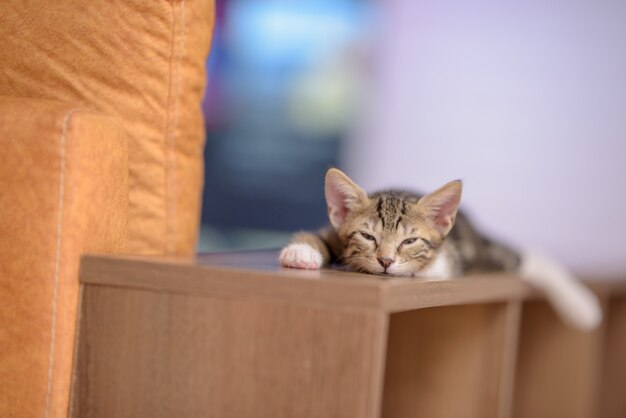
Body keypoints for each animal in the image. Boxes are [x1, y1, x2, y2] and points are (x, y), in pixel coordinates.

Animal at [278, 168, 600, 332]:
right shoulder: (335, 231)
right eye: (368, 236)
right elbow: (321, 236)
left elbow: (431, 265)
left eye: (409, 241)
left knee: (528, 256)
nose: (385, 260)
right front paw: (301, 251)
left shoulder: (448, 259)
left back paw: (582, 307)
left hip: (488, 255)